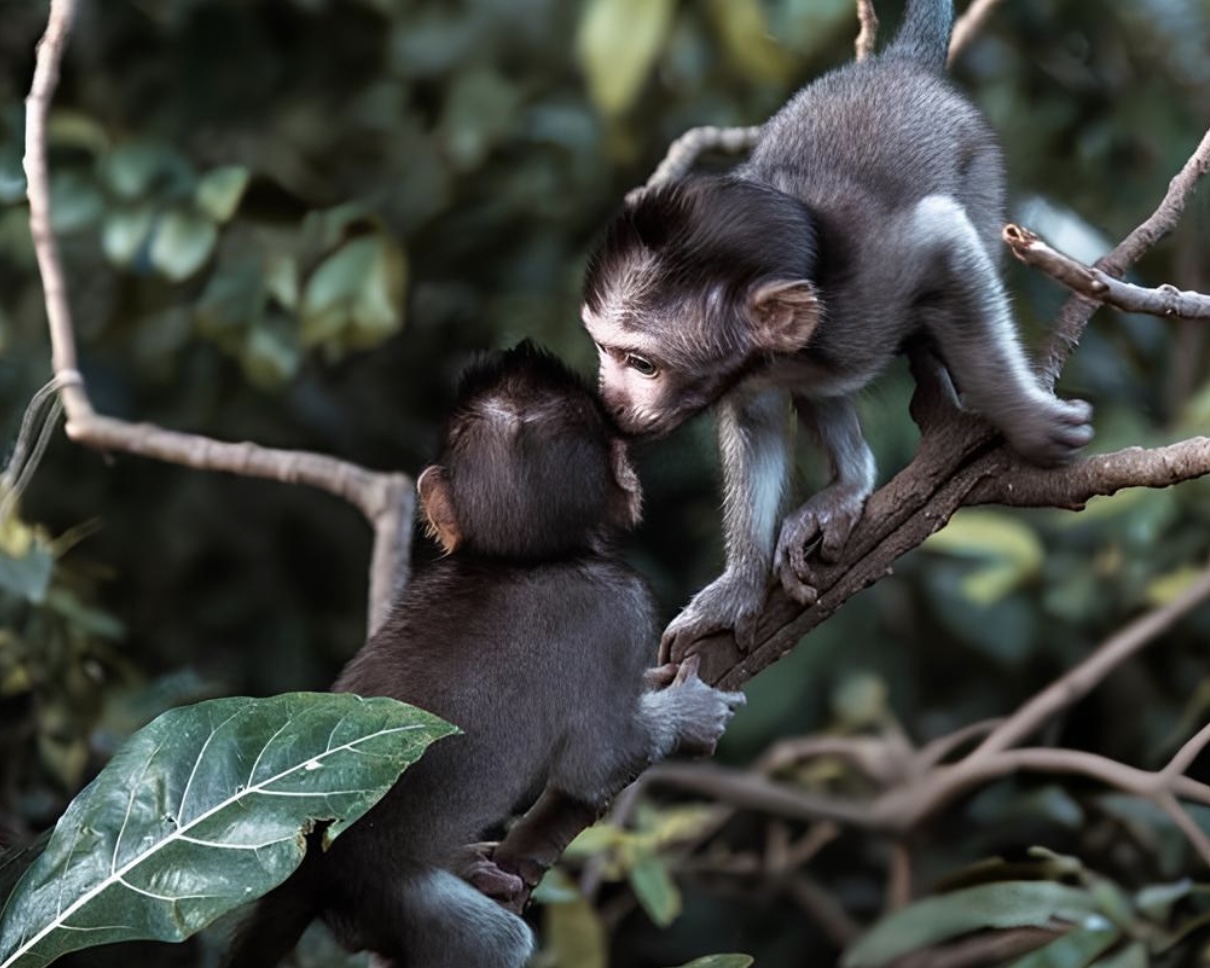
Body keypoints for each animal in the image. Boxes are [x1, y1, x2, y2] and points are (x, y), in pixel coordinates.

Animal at [225, 341, 745, 968]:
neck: (518, 560)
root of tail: (303, 872)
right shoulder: (623, 605)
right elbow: (597, 762)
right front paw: (692, 713)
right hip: (384, 890)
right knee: (498, 943)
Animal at [580, 0, 1093, 659]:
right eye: (603, 350)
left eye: (642, 364)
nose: (609, 400)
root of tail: (899, 65)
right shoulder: (751, 368)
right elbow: (756, 419)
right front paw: (739, 587)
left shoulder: (876, 283)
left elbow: (944, 240)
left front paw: (1025, 420)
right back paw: (850, 482)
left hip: (980, 172)